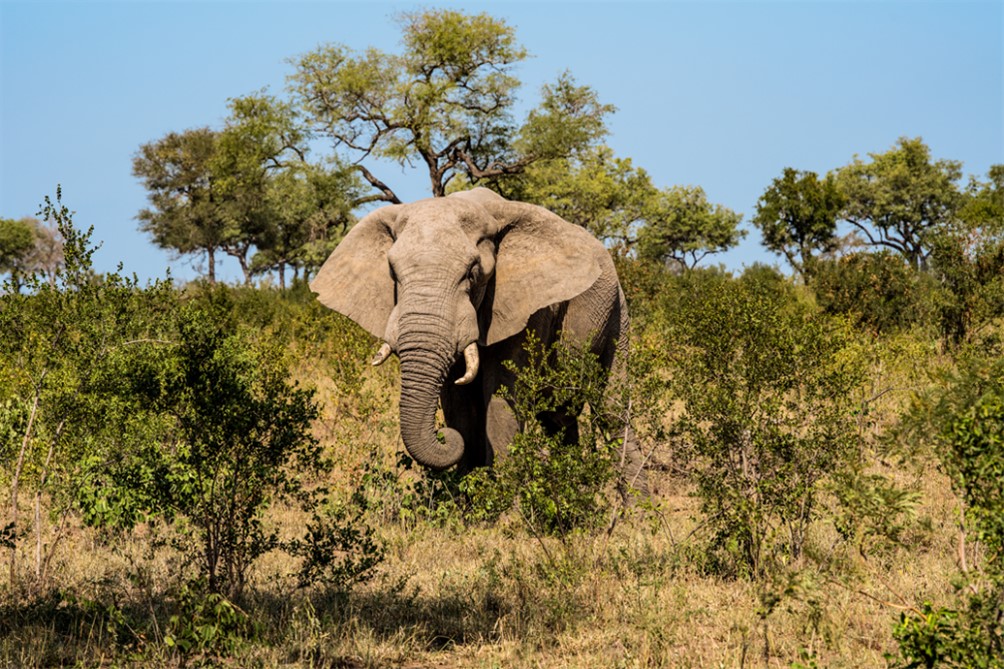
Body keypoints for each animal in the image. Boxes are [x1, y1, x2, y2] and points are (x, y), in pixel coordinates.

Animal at [309, 184, 646, 492]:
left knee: (611, 411)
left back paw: (632, 508)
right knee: (559, 418)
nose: (443, 436)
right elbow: (459, 405)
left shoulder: (527, 310)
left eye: (472, 273)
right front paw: (467, 503)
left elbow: (500, 398)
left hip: (617, 312)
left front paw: (507, 511)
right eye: (392, 273)